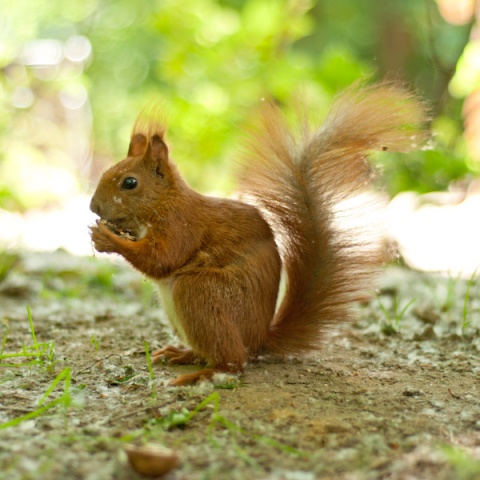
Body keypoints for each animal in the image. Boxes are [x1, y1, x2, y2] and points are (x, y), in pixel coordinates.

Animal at [88, 83, 426, 386]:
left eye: (130, 183)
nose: (93, 206)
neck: (166, 201)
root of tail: (259, 339)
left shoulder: (181, 226)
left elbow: (162, 259)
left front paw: (107, 239)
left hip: (200, 293)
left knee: (233, 362)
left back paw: (200, 375)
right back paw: (182, 354)